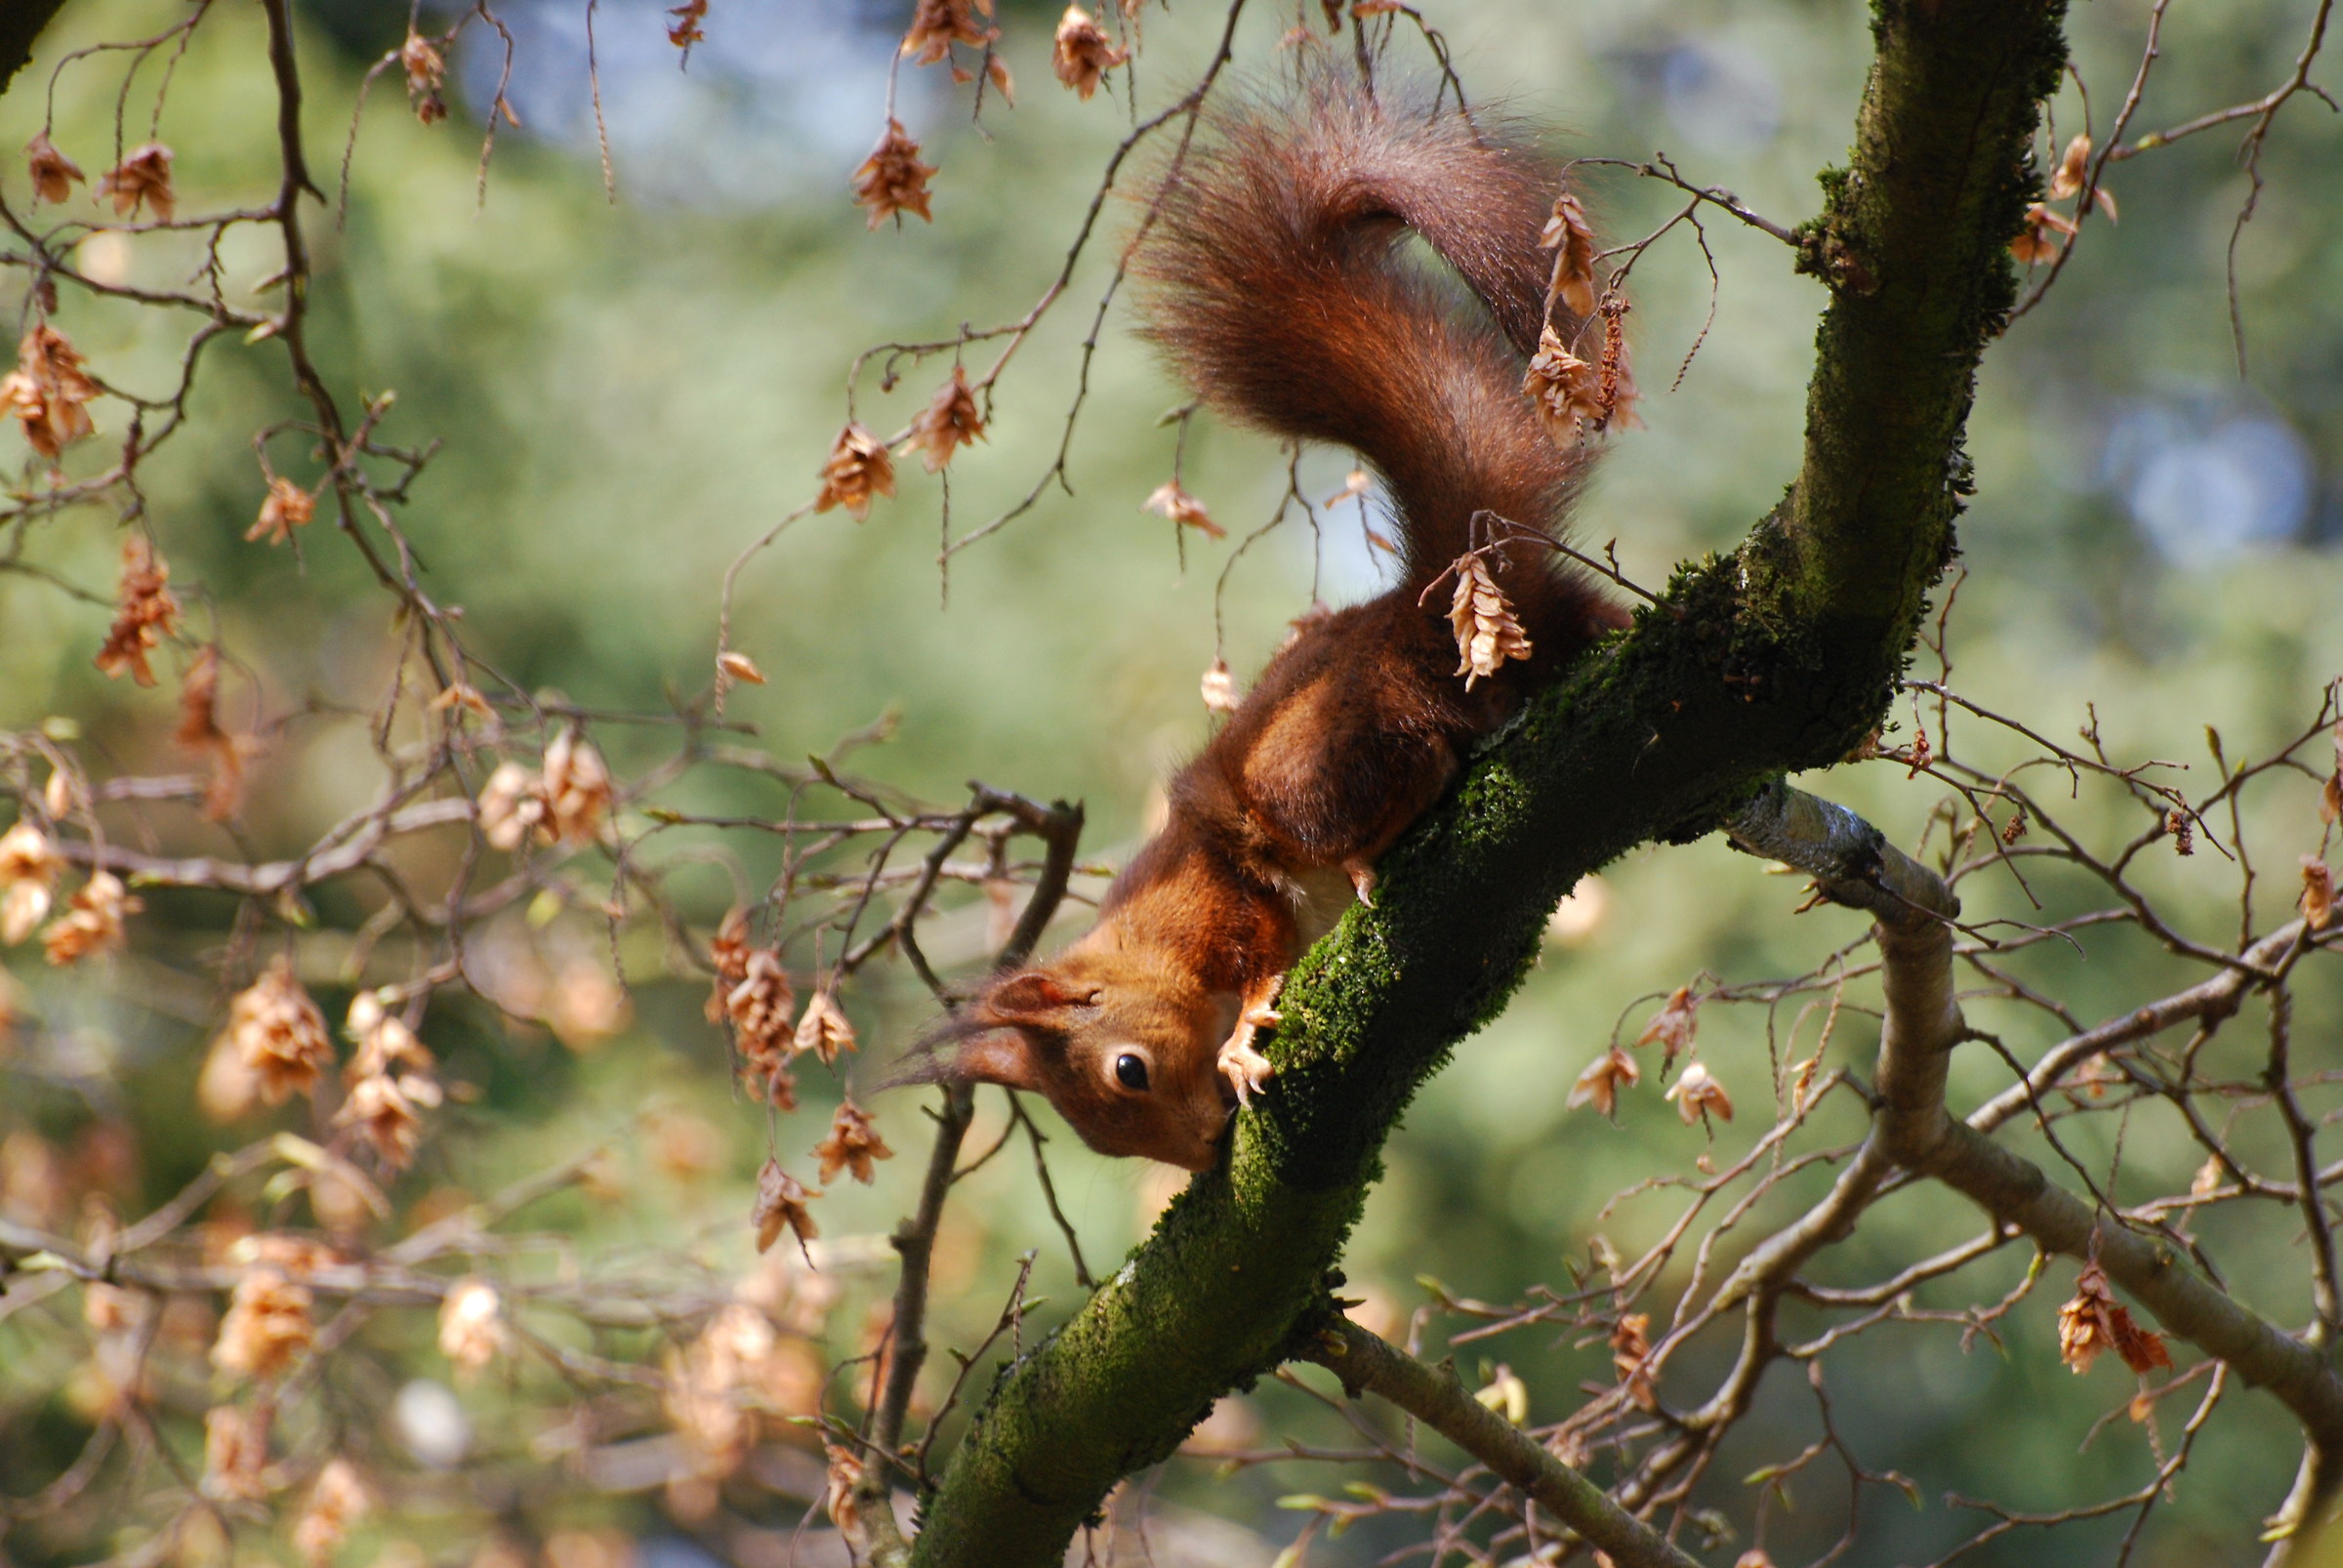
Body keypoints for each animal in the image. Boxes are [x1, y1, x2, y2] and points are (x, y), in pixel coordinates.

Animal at [891, 68, 1626, 1171]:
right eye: (1108, 1143)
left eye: (1128, 1070)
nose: (1200, 1157)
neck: (1141, 944)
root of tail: (1428, 618)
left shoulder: (1219, 907)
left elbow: (1257, 958)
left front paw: (1239, 1039)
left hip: (1304, 764)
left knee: (1410, 768)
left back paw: (1374, 843)